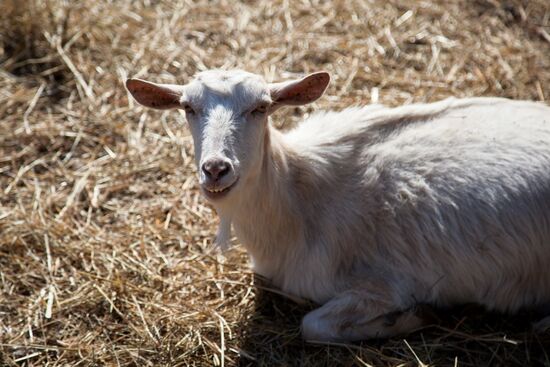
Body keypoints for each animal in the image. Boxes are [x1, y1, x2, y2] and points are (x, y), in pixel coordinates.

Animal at [125, 69, 550, 342]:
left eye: (261, 108)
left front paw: (410, 319)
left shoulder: (385, 283)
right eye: (187, 108)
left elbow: (313, 325)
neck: (301, 198)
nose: (216, 169)